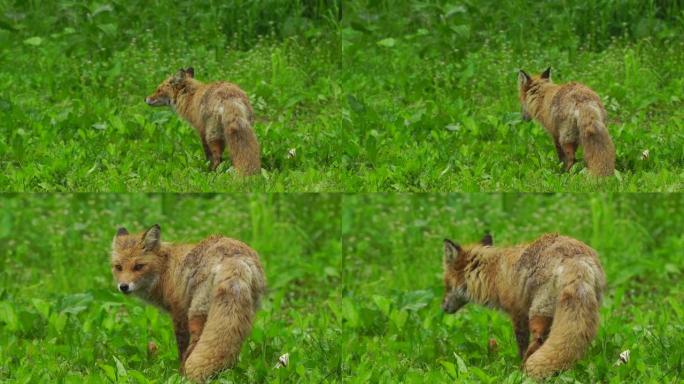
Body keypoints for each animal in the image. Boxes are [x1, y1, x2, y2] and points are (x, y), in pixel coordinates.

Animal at [109, 225, 264, 380]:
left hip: (197, 314)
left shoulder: (179, 312)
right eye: (118, 267)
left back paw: (185, 375)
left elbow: (182, 348)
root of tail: (234, 257)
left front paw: (177, 375)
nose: (123, 286)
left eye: (138, 266)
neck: (165, 269)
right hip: (244, 315)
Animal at [444, 232, 604, 380]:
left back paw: (523, 372)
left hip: (538, 313)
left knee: (537, 341)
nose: (443, 308)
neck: (495, 273)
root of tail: (576, 258)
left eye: (446, 285)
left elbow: (521, 344)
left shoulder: (518, 312)